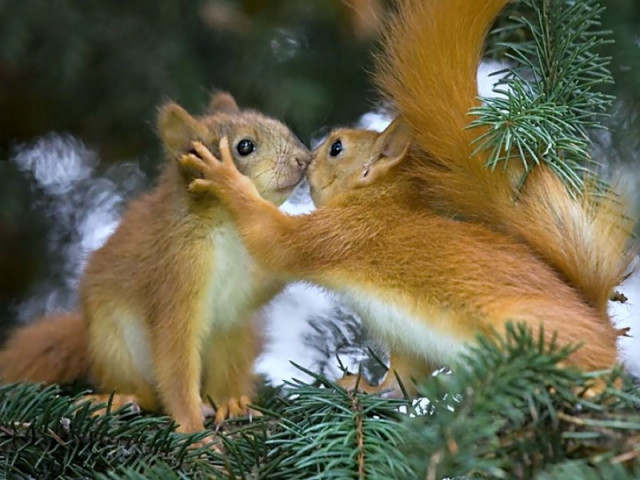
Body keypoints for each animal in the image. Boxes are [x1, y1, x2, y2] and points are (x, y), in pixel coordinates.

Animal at [0, 92, 310, 434]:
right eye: (244, 146)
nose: (305, 159)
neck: (229, 227)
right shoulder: (176, 272)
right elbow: (176, 360)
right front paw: (193, 432)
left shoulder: (252, 275)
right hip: (114, 345)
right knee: (148, 395)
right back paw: (120, 401)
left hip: (235, 335)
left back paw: (231, 403)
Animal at [175, 0, 636, 398]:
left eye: (337, 148)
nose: (306, 158)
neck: (377, 202)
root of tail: (599, 323)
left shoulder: (339, 233)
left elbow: (274, 240)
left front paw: (225, 178)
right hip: (411, 341)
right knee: (404, 382)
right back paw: (366, 388)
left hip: (531, 329)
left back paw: (591, 387)